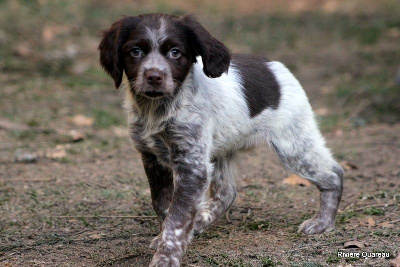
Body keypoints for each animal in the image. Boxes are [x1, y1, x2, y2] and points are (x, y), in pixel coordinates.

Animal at [99, 13, 344, 266]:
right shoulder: (151, 157)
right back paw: (199, 221)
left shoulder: (192, 165)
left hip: (293, 145)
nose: (154, 77)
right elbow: (163, 206)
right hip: (223, 149)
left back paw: (323, 223)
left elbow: (177, 218)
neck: (159, 109)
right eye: (135, 51)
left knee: (334, 173)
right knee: (227, 193)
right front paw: (169, 238)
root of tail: (275, 66)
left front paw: (165, 258)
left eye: (175, 52)